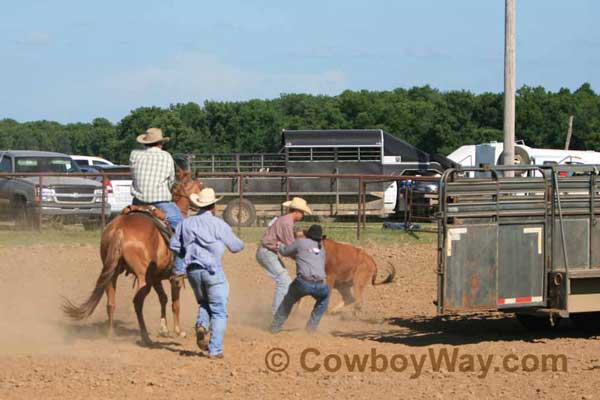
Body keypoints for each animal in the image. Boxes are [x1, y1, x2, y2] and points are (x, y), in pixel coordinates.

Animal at [63, 170, 203, 346]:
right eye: (201, 186)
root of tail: (119, 230)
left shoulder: (155, 277)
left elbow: (163, 298)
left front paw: (164, 329)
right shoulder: (173, 277)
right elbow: (174, 303)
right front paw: (178, 331)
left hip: (112, 274)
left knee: (111, 304)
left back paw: (111, 335)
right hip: (142, 279)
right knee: (137, 303)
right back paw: (145, 337)